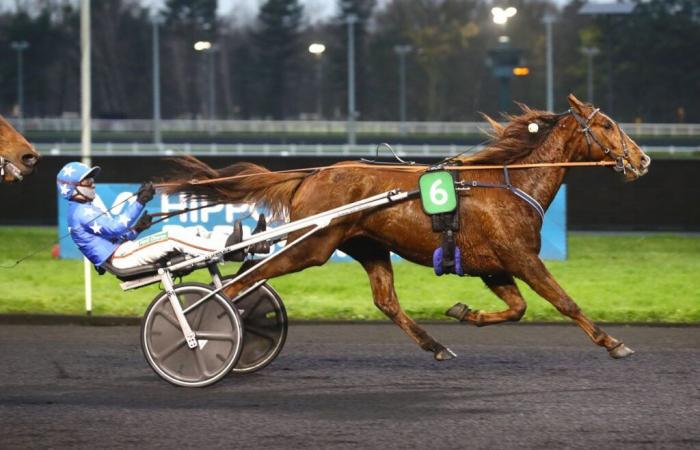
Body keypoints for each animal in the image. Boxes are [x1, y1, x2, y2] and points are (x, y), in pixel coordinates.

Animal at [164, 95, 652, 362]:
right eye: (607, 125)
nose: (643, 159)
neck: (509, 183)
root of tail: (311, 175)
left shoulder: (494, 266)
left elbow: (516, 309)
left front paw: (464, 312)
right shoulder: (521, 257)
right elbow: (565, 302)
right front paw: (613, 341)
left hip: (368, 247)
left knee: (386, 302)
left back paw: (435, 344)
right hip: (313, 246)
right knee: (243, 280)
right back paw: (204, 326)